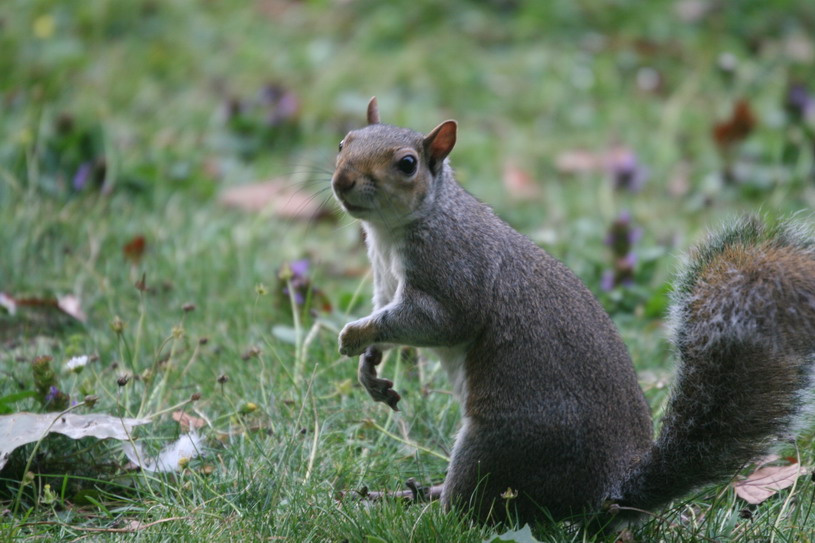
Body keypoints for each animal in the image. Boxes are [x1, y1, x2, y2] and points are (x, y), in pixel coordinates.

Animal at [331, 97, 815, 525]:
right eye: (343, 141)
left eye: (407, 164)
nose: (341, 181)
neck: (394, 230)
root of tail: (611, 495)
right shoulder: (385, 280)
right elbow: (386, 315)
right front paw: (370, 367)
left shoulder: (452, 272)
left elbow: (433, 322)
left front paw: (354, 335)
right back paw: (411, 493)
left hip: (502, 444)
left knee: (472, 512)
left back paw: (429, 508)